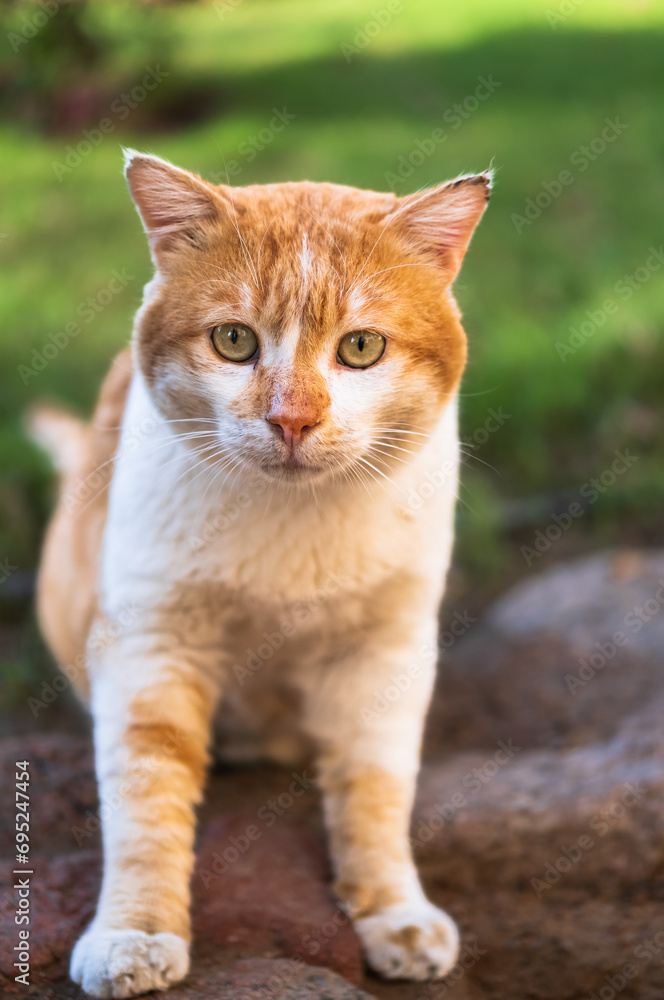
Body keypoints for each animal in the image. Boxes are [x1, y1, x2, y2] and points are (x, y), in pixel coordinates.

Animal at [29, 152, 488, 996]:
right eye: (234, 340)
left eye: (361, 348)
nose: (293, 418)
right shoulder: (149, 643)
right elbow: (145, 793)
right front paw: (134, 933)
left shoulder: (386, 654)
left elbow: (376, 789)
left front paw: (393, 912)